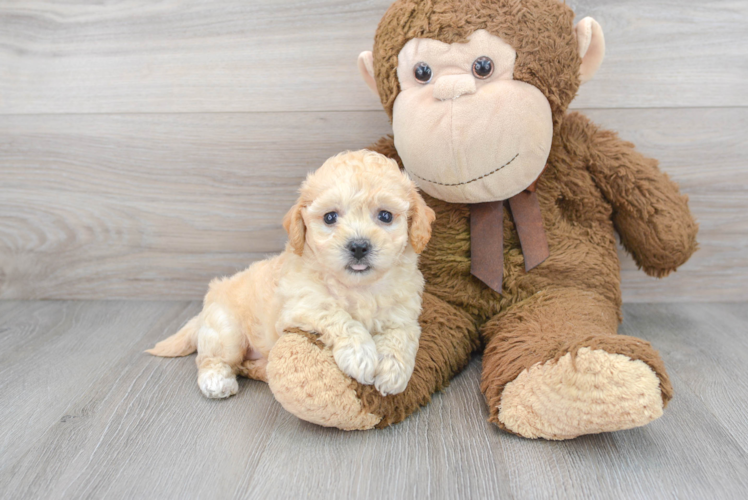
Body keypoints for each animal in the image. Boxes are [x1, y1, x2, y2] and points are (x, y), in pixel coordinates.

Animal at [147, 148, 436, 398]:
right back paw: (216, 380)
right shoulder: (302, 304)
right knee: (212, 358)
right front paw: (361, 355)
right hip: (226, 330)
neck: (358, 287)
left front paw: (392, 372)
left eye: (385, 216)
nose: (358, 246)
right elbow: (337, 315)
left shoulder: (403, 314)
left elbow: (401, 336)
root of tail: (208, 305)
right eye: (330, 217)